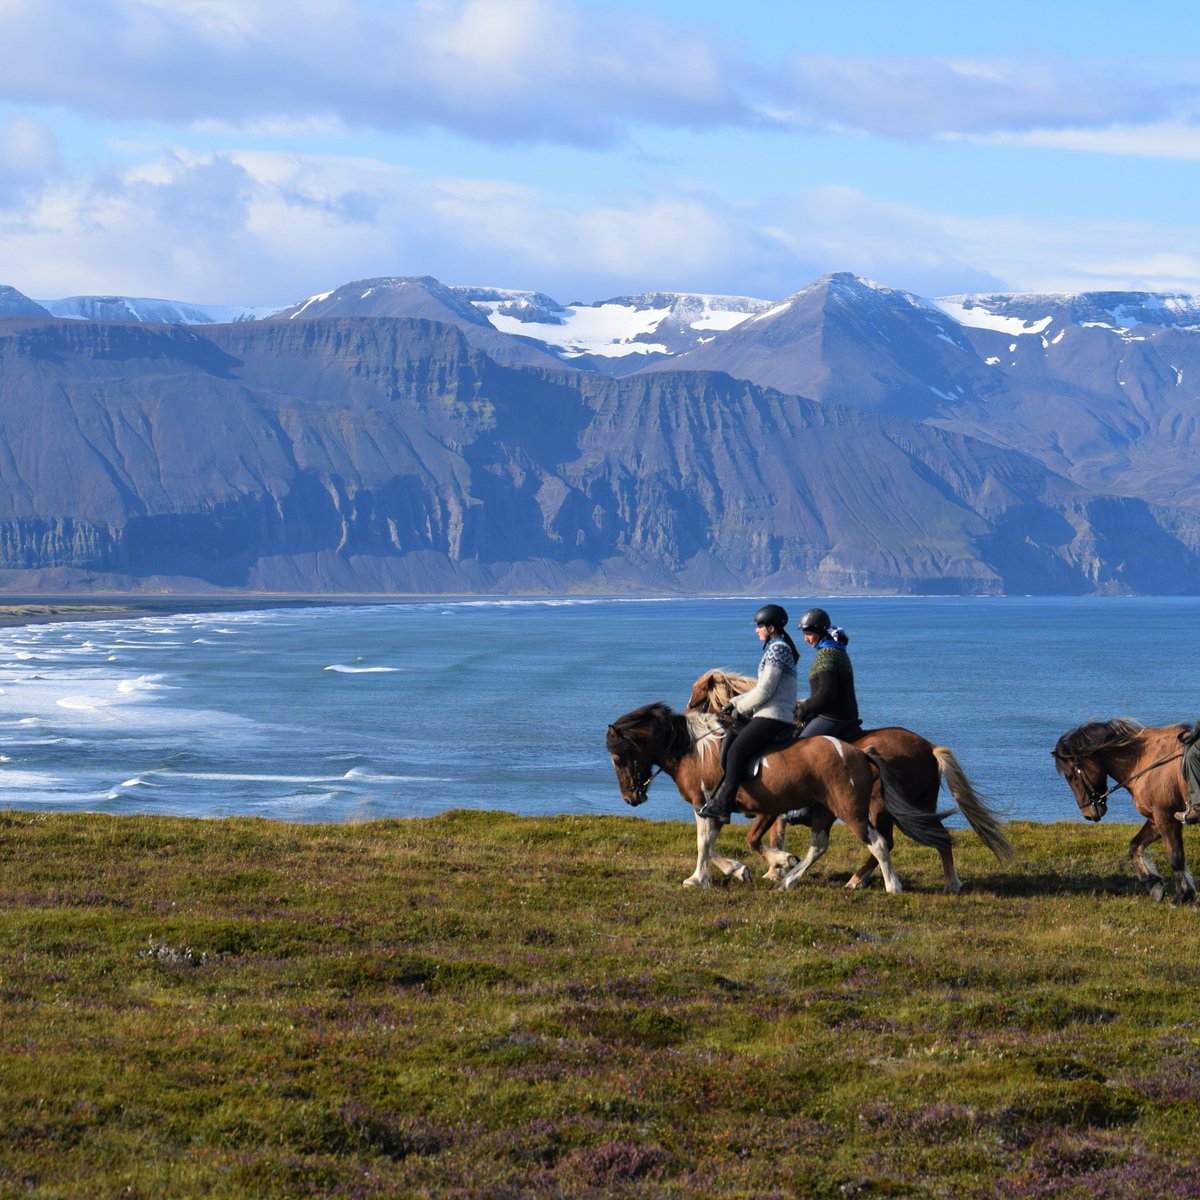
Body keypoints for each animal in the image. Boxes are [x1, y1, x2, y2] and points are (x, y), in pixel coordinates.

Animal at [604, 700, 950, 892]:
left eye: (619, 759)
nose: (630, 798)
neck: (695, 749)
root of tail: (859, 752)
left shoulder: (707, 805)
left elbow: (706, 843)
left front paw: (700, 878)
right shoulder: (748, 809)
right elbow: (727, 842)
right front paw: (762, 866)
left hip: (851, 808)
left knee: (878, 842)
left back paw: (891, 885)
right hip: (826, 809)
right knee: (819, 846)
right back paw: (791, 880)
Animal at [686, 667, 1012, 892]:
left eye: (698, 696)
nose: (687, 713)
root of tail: (929, 747)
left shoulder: (772, 807)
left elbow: (760, 838)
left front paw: (776, 867)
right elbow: (771, 837)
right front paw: (777, 868)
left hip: (880, 805)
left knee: (887, 840)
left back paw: (865, 880)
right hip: (918, 803)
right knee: (931, 836)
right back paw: (943, 882)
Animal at [1056, 715, 1195, 902]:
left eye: (1071, 777)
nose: (1088, 814)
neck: (1146, 761)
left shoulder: (1165, 817)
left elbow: (1176, 857)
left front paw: (1182, 896)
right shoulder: (1155, 818)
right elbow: (1135, 846)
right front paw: (1153, 884)